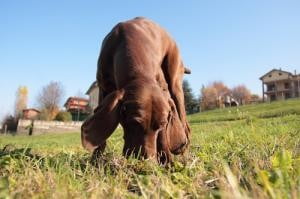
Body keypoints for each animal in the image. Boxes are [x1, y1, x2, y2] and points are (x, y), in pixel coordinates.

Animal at [81, 17, 191, 163]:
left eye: (162, 124)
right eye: (134, 122)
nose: (148, 161)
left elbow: (163, 135)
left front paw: (167, 160)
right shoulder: (103, 88)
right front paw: (96, 159)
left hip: (175, 84)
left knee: (184, 123)